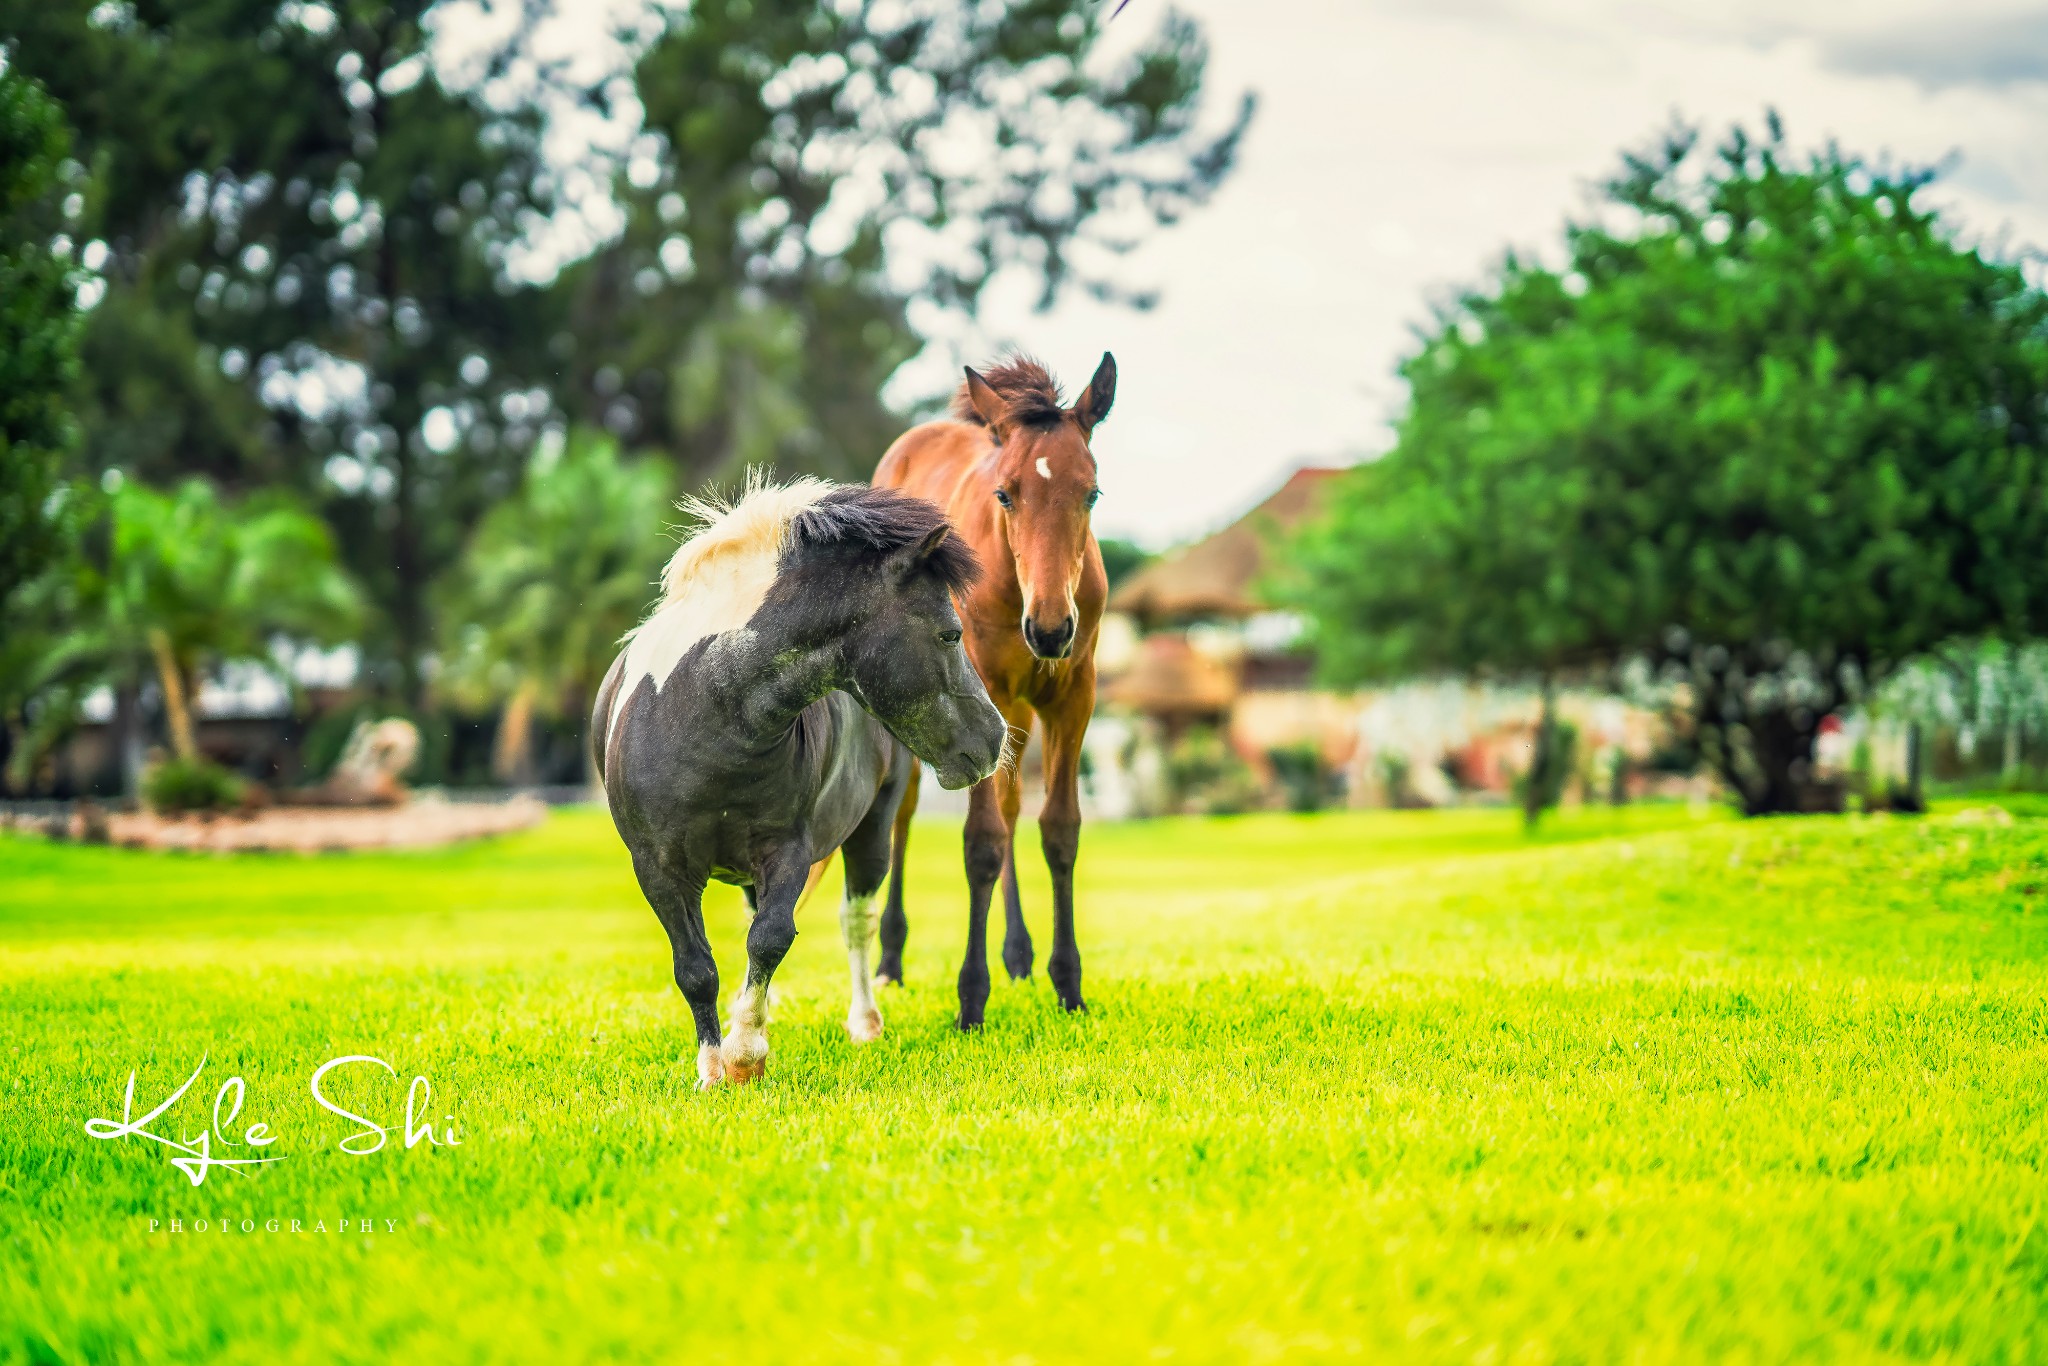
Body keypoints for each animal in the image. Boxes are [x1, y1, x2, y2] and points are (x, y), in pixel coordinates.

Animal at [593, 475, 1007, 1081]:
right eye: (951, 635)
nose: (995, 739)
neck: (705, 714)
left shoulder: (787, 848)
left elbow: (770, 938)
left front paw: (746, 1054)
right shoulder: (659, 868)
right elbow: (695, 967)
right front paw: (712, 1069)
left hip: (872, 831)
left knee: (856, 920)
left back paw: (864, 1023)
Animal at [868, 352, 1114, 1023]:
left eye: (1092, 492)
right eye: (1005, 494)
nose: (1050, 629)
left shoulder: (1072, 697)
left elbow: (1058, 829)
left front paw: (1069, 985)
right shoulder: (983, 695)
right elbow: (980, 842)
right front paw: (970, 1001)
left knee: (1008, 806)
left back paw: (1019, 954)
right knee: (904, 810)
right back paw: (890, 960)